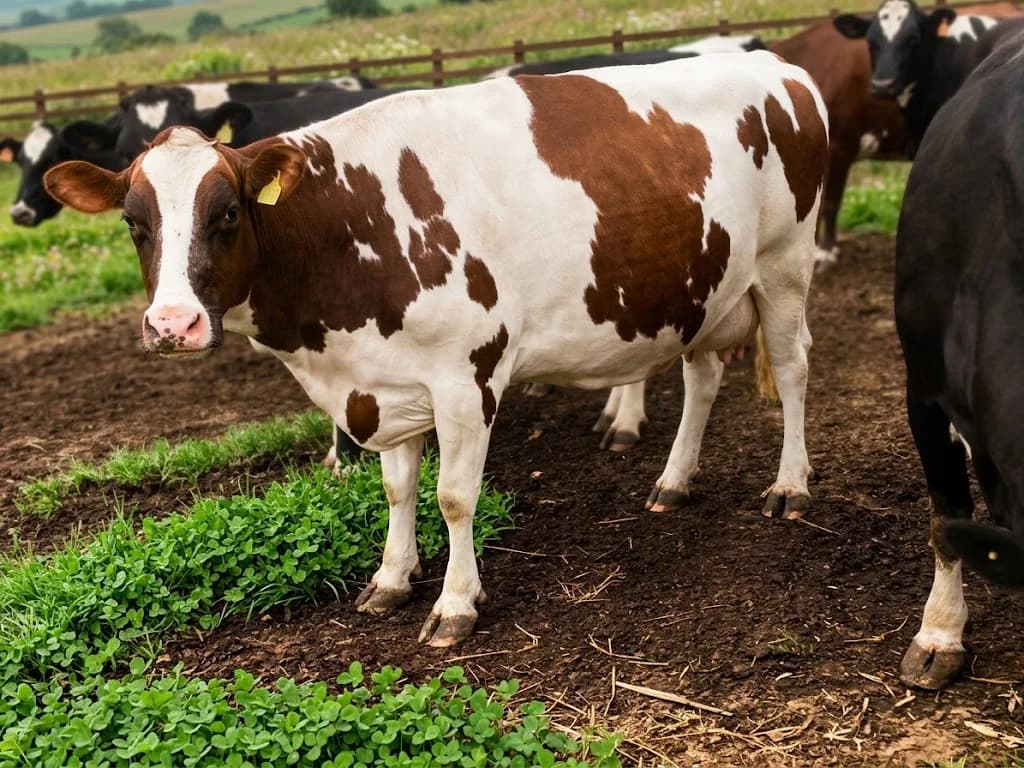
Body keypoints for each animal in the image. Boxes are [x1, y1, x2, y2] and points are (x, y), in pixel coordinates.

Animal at [45, 52, 827, 646]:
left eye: (229, 213)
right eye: (134, 222)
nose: (172, 324)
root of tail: (776, 64)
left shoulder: (465, 377)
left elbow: (454, 496)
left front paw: (455, 604)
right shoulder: (382, 380)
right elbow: (398, 487)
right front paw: (391, 578)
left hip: (784, 267)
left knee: (793, 369)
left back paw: (790, 485)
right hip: (706, 287)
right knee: (702, 376)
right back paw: (674, 480)